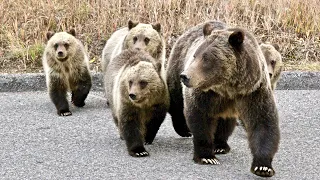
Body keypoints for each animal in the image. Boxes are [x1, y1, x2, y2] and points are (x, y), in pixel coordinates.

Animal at [168, 20, 280, 176]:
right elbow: (200, 118)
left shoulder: (253, 91)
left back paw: (220, 145)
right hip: (177, 63)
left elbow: (263, 122)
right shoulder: (205, 94)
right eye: (195, 55)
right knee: (177, 101)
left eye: (206, 58)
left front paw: (263, 167)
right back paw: (184, 130)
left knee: (225, 121)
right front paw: (207, 157)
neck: (227, 87)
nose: (185, 76)